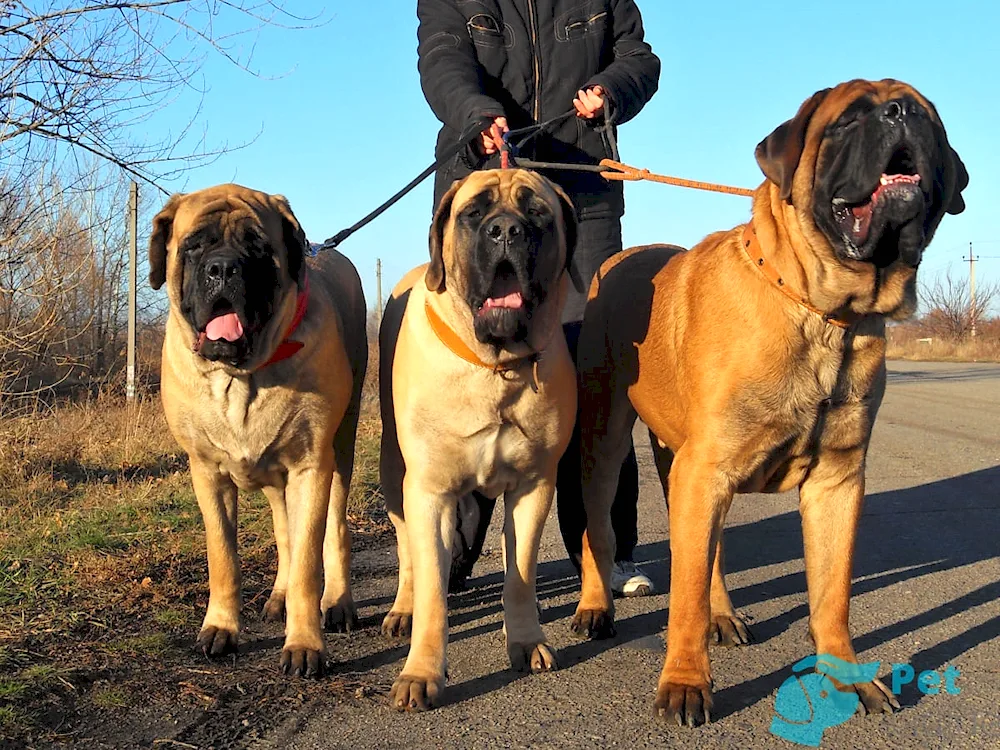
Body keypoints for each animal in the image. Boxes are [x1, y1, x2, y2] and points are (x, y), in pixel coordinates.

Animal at [148, 184, 368, 680]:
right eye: (194, 245)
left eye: (257, 248)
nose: (223, 268)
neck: (242, 378)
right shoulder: (206, 472)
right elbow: (223, 556)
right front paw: (221, 629)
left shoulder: (310, 466)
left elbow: (308, 559)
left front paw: (304, 644)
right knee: (284, 530)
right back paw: (278, 596)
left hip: (338, 450)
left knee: (332, 529)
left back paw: (338, 603)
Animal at [376, 169, 580, 712]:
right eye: (473, 213)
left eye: (537, 213)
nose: (506, 230)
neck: (495, 368)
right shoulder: (428, 492)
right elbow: (430, 590)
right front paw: (421, 672)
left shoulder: (534, 486)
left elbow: (521, 574)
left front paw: (527, 642)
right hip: (393, 471)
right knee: (408, 553)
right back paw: (403, 607)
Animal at [572, 82, 968, 728]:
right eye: (847, 121)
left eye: (930, 119)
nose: (902, 114)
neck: (821, 309)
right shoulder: (704, 469)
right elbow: (681, 597)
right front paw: (685, 684)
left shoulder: (835, 482)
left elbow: (832, 593)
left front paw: (847, 676)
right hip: (607, 442)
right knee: (599, 531)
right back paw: (595, 608)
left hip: (681, 462)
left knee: (710, 555)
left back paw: (723, 614)